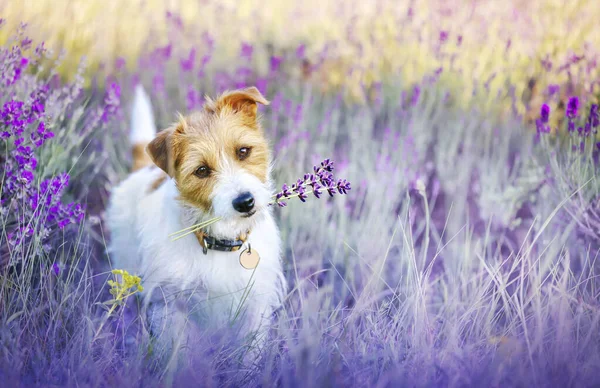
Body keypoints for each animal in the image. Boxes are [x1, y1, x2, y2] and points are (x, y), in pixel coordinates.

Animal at [105, 84, 286, 354]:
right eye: (201, 170)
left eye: (243, 151)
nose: (245, 202)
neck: (219, 240)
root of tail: (145, 168)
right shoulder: (171, 306)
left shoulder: (255, 304)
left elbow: (249, 353)